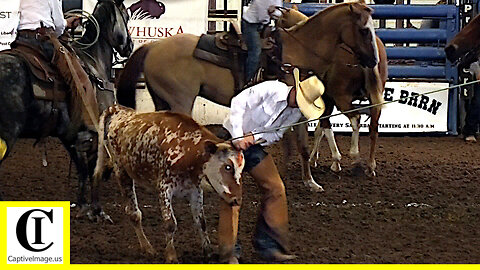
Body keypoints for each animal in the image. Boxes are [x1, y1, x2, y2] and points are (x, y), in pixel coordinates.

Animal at [0, 0, 133, 215]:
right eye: (126, 16)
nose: (130, 46)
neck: (94, 62)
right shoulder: (94, 132)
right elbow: (92, 168)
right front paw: (96, 209)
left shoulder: (71, 135)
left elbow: (82, 170)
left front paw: (81, 205)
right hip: (7, 133)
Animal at [276, 4, 388, 177]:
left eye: (280, 20)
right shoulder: (327, 101)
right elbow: (321, 128)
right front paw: (316, 158)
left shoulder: (328, 99)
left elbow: (324, 126)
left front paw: (332, 160)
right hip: (374, 96)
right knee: (373, 127)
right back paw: (370, 166)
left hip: (343, 97)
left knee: (355, 119)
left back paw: (354, 157)